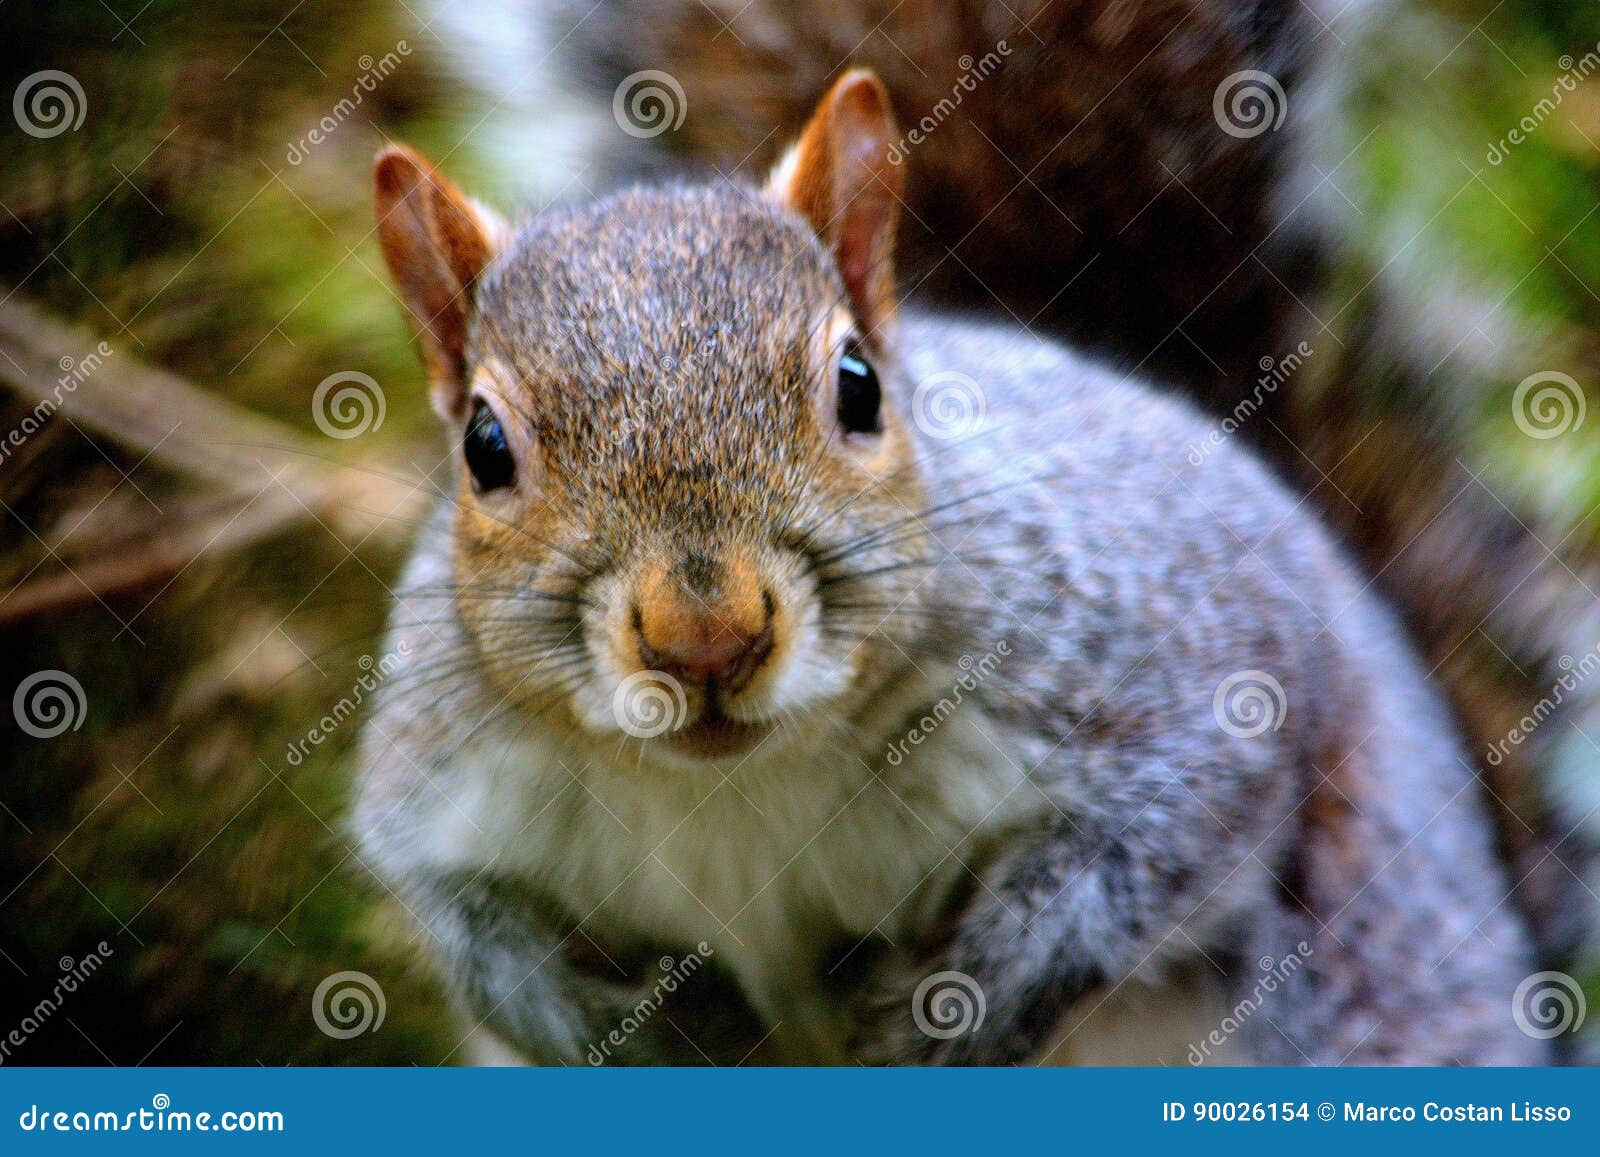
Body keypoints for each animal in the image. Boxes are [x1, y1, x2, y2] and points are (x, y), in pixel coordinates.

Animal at [356, 71, 1547, 1065]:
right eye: (484, 447)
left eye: (858, 386)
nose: (706, 638)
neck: (737, 781)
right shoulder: (438, 771)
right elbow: (460, 924)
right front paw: (638, 1026)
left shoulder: (1168, 673)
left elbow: (1137, 848)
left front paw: (953, 1007)